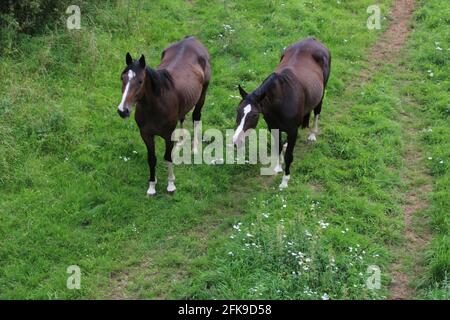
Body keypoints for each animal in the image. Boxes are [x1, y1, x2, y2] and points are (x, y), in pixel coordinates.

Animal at [118, 35, 212, 195]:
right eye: (122, 78)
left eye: (140, 81)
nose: (123, 110)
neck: (156, 106)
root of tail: (192, 38)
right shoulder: (146, 135)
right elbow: (152, 159)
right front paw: (152, 186)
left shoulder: (167, 135)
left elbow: (167, 158)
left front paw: (170, 184)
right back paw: (180, 142)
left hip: (202, 95)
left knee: (196, 116)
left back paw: (194, 148)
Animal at [232, 37, 330, 189]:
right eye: (238, 110)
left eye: (254, 115)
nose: (236, 142)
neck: (281, 98)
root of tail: (313, 40)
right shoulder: (273, 127)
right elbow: (277, 146)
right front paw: (278, 167)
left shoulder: (292, 131)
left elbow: (289, 156)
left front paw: (285, 181)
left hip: (321, 94)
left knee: (317, 112)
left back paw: (313, 134)